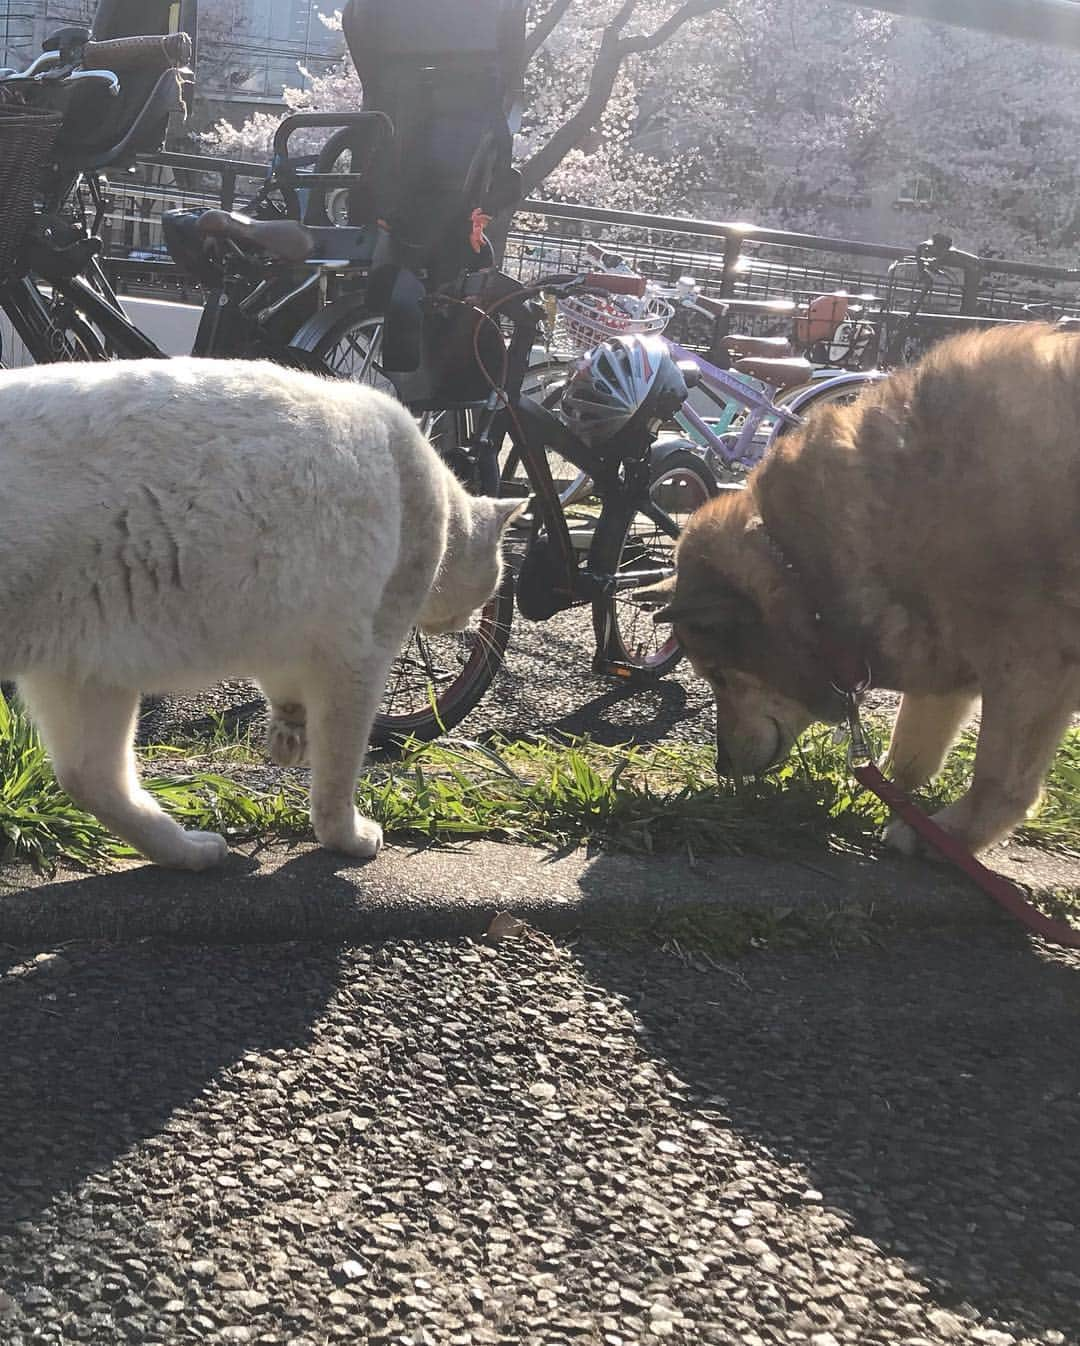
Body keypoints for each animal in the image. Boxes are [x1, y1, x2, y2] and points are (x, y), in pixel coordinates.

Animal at [0, 355, 522, 872]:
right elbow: (339, 766)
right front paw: (345, 837)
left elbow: (287, 693)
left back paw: (190, 853)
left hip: (89, 670)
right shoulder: (360, 658)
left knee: (90, 779)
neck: (436, 502)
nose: (469, 623)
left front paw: (289, 731)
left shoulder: (286, 638)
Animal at [643, 321, 1071, 856]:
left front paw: (944, 837)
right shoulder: (941, 656)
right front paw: (878, 800)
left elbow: (1001, 784)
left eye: (718, 675)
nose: (722, 767)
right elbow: (909, 753)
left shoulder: (1030, 671)